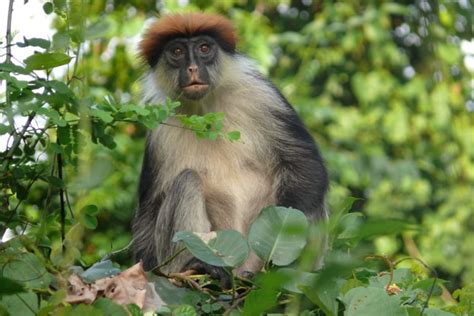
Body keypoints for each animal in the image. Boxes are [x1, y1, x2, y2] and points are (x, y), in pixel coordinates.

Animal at [131, 11, 328, 284]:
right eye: (177, 51)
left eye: (204, 48)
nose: (192, 67)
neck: (206, 111)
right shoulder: (160, 130)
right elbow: (149, 213)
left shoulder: (263, 96)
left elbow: (306, 164)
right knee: (187, 180)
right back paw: (201, 267)